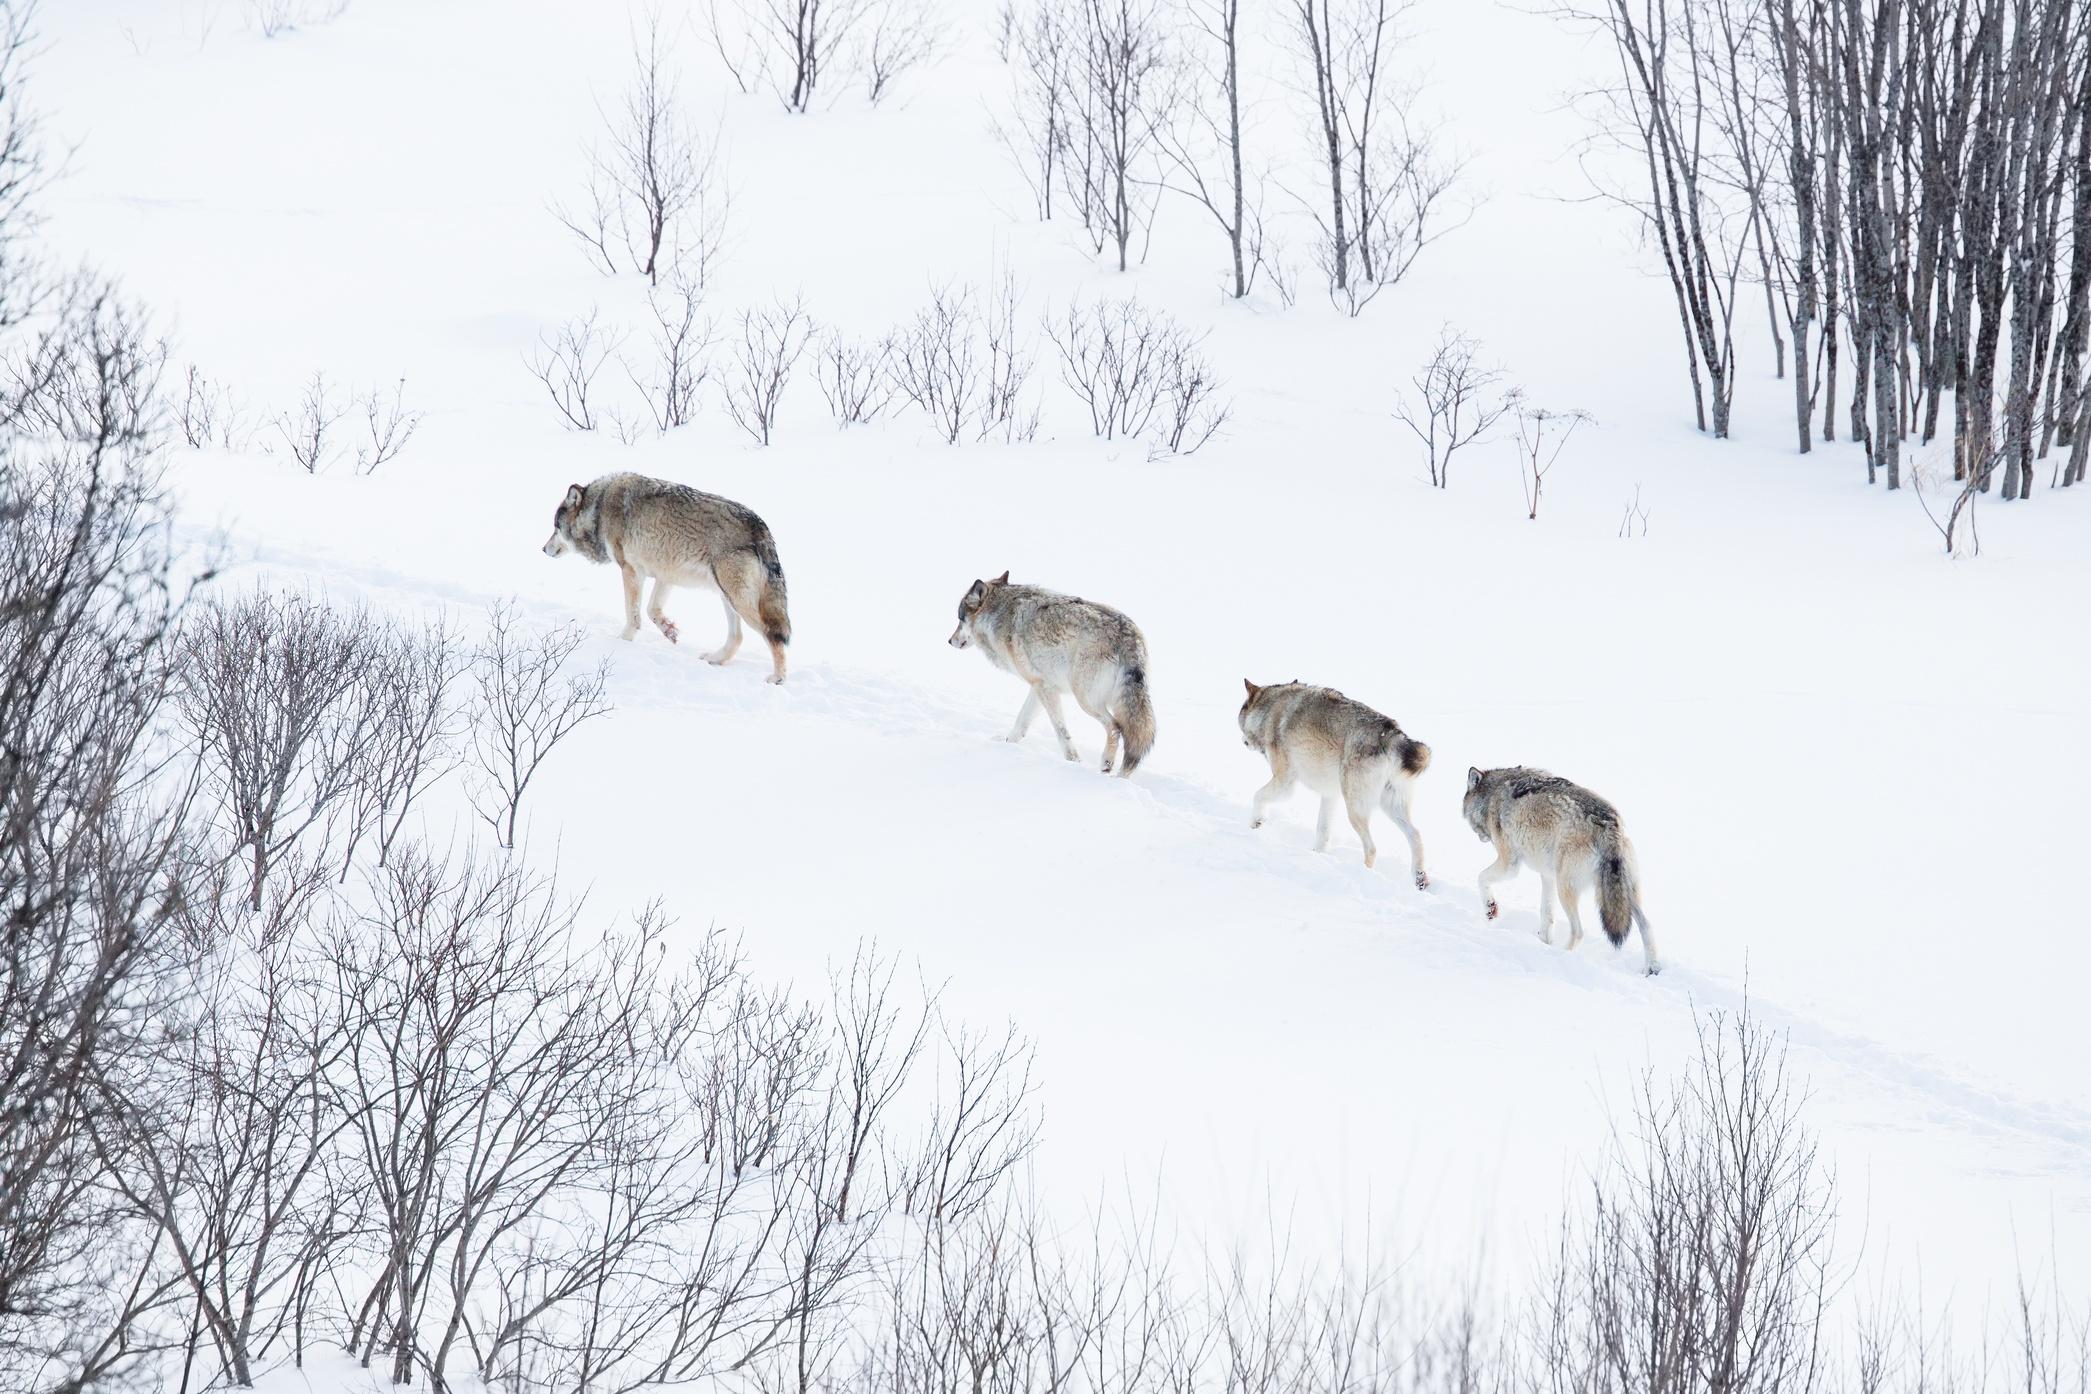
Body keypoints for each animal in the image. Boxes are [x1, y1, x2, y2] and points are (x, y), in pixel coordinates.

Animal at [542, 472, 792, 684]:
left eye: (555, 527)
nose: (543, 549)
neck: (599, 509)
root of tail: (760, 526)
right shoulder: (665, 575)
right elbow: (651, 610)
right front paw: (669, 631)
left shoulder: (630, 571)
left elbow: (633, 615)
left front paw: (621, 642)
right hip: (727, 597)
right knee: (737, 637)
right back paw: (714, 658)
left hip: (736, 599)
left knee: (772, 634)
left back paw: (777, 678)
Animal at [948, 572, 1155, 776]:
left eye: (960, 619)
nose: (949, 641)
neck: (998, 615)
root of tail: (1129, 637)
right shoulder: (1040, 685)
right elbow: (1021, 721)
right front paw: (1007, 744)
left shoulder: (1046, 689)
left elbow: (1061, 730)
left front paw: (1073, 761)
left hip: (1085, 700)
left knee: (1115, 727)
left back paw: (1106, 765)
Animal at [1238, 680, 1432, 888]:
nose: (1243, 741)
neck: (1269, 711)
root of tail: (1392, 734)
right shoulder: (1330, 794)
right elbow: (1322, 832)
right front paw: (1316, 856)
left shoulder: (1285, 782)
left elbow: (1257, 795)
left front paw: (1255, 823)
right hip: (1390, 806)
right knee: (1416, 836)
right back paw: (1420, 879)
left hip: (1355, 810)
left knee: (1372, 848)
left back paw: (1362, 874)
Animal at [1460, 766, 1660, 975]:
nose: (1480, 837)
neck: (1492, 795)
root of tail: (1609, 826)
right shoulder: (1547, 876)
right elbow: (1546, 913)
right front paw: (1543, 941)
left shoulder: (1510, 865)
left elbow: (1481, 877)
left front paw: (1490, 910)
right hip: (1622, 894)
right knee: (1646, 925)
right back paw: (1651, 968)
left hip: (1566, 888)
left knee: (1578, 931)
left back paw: (1560, 955)